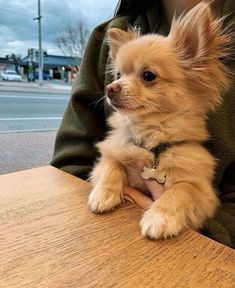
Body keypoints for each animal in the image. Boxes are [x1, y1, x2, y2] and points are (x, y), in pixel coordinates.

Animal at [87, 2, 231, 238]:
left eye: (148, 76)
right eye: (118, 75)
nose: (110, 88)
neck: (149, 141)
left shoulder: (204, 193)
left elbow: (181, 189)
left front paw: (159, 217)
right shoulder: (111, 154)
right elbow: (111, 164)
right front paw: (103, 194)